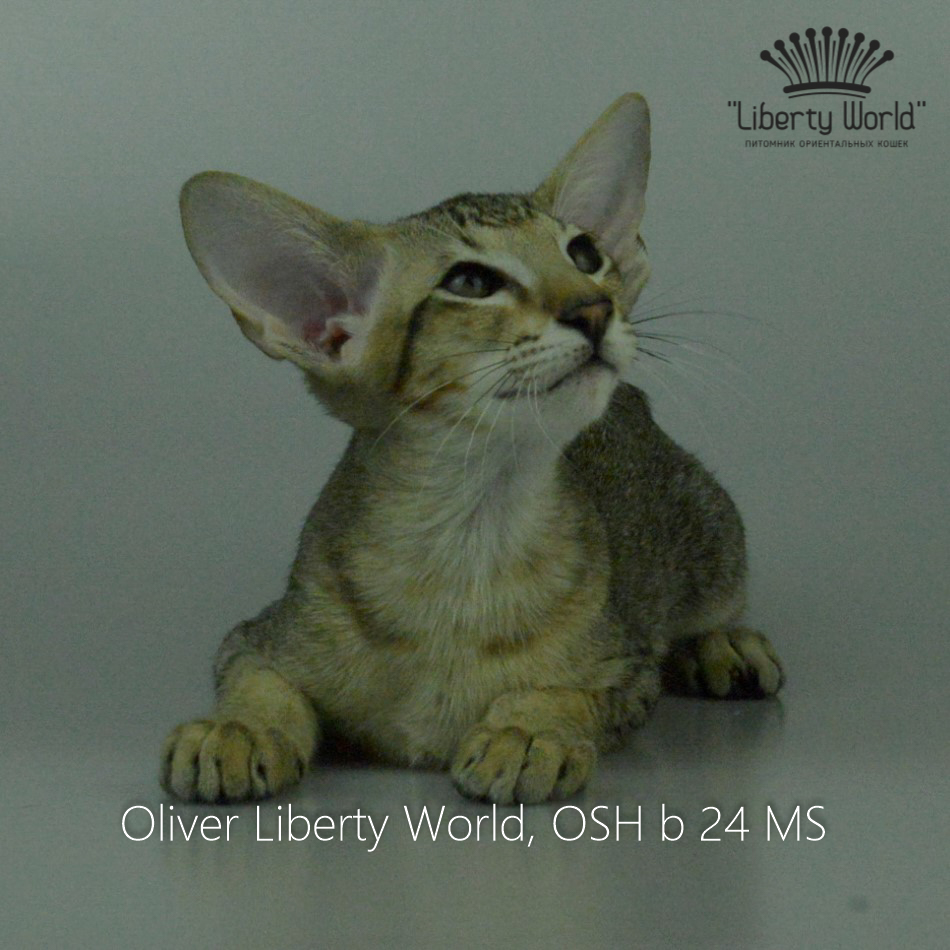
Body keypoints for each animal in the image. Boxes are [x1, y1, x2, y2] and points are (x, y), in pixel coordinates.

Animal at [161, 94, 784, 806]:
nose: (595, 308)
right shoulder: (255, 637)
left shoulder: (628, 668)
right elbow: (260, 680)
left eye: (585, 252)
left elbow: (571, 691)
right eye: (471, 282)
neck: (466, 541)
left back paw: (724, 645)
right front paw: (238, 727)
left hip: (711, 531)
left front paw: (529, 729)